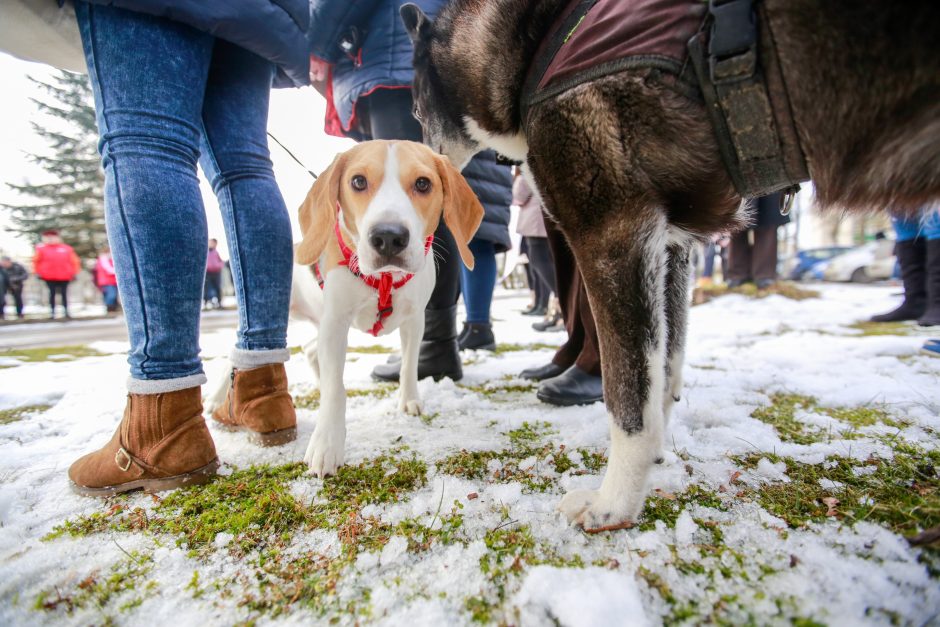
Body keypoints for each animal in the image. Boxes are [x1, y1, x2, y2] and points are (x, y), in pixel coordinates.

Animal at [288, 141, 482, 476]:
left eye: (423, 184)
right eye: (358, 181)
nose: (388, 236)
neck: (384, 279)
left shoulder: (415, 320)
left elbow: (409, 365)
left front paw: (409, 400)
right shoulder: (335, 323)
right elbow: (336, 389)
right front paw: (326, 445)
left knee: (310, 349)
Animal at [400, 0, 940, 532]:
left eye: (415, 109)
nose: (423, 170)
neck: (537, 43)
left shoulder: (611, 236)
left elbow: (628, 395)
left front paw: (614, 504)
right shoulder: (673, 250)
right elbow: (663, 367)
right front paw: (655, 455)